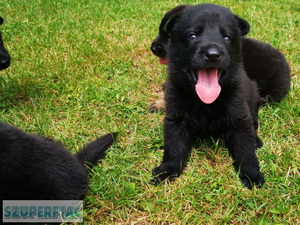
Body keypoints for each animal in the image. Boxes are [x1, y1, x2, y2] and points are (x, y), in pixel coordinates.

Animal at [152, 4, 264, 189]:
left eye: (227, 37)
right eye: (192, 35)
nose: (212, 54)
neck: (205, 101)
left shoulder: (239, 118)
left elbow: (245, 149)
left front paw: (251, 173)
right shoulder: (176, 118)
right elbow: (174, 146)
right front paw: (167, 169)